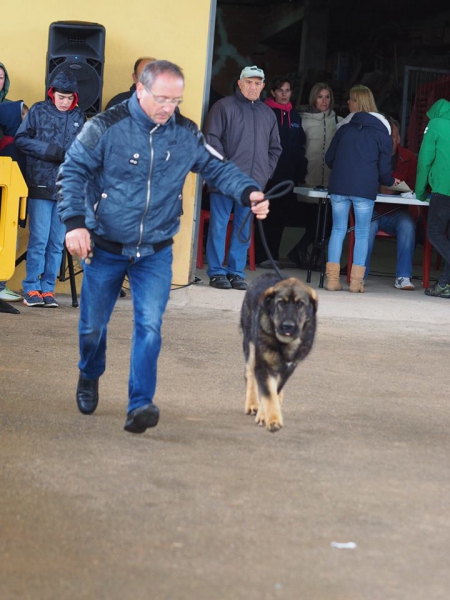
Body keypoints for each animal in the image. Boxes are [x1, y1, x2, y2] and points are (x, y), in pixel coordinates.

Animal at [241, 272, 318, 432]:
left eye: (300, 304)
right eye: (280, 303)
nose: (288, 326)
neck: (284, 343)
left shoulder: (289, 367)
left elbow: (274, 390)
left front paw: (266, 415)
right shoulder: (264, 365)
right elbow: (268, 393)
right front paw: (272, 419)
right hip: (249, 342)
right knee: (250, 373)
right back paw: (252, 404)